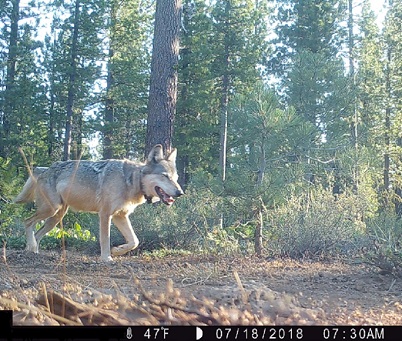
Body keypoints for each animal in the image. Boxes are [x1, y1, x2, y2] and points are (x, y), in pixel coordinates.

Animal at [13, 144, 184, 260]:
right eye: (165, 176)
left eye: (176, 178)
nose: (180, 193)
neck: (130, 181)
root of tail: (43, 169)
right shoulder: (105, 214)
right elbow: (105, 239)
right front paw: (107, 258)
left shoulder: (120, 216)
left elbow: (134, 241)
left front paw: (117, 251)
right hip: (51, 210)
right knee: (27, 222)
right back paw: (32, 248)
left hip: (56, 217)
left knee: (37, 233)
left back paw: (33, 251)